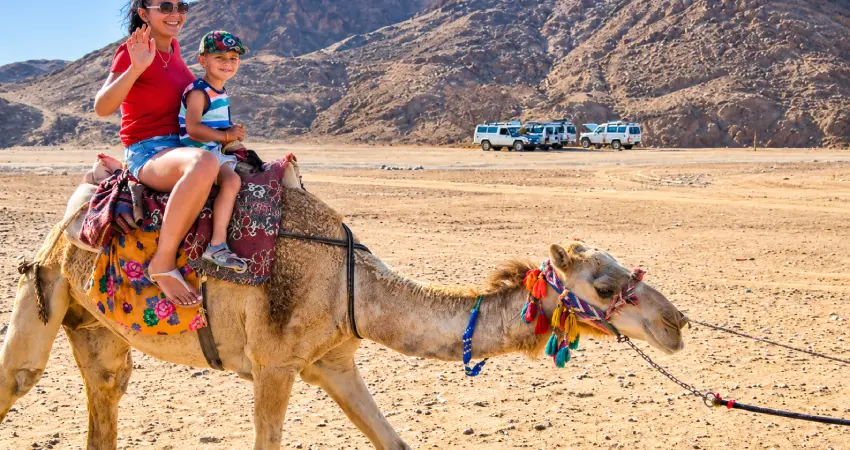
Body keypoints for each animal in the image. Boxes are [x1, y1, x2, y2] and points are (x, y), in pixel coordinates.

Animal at [0, 178, 688, 450]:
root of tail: (67, 224)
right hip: (45, 290)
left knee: (106, 396)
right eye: (604, 283)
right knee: (18, 378)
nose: (675, 324)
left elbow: (393, 440)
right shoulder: (274, 363)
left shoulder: (333, 361)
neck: (353, 290)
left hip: (95, 329)